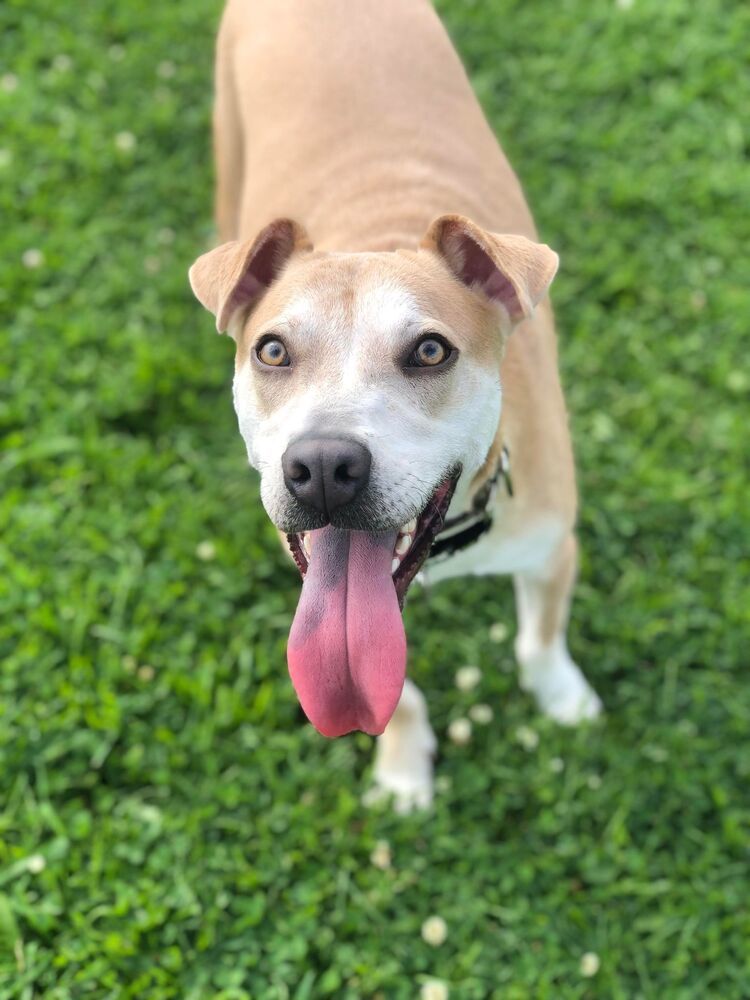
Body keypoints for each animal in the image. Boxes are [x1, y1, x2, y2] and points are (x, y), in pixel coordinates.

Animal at [189, 0, 604, 812]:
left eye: (431, 351)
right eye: (272, 351)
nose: (322, 466)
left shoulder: (552, 543)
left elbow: (538, 638)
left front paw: (562, 697)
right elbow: (397, 691)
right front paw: (405, 768)